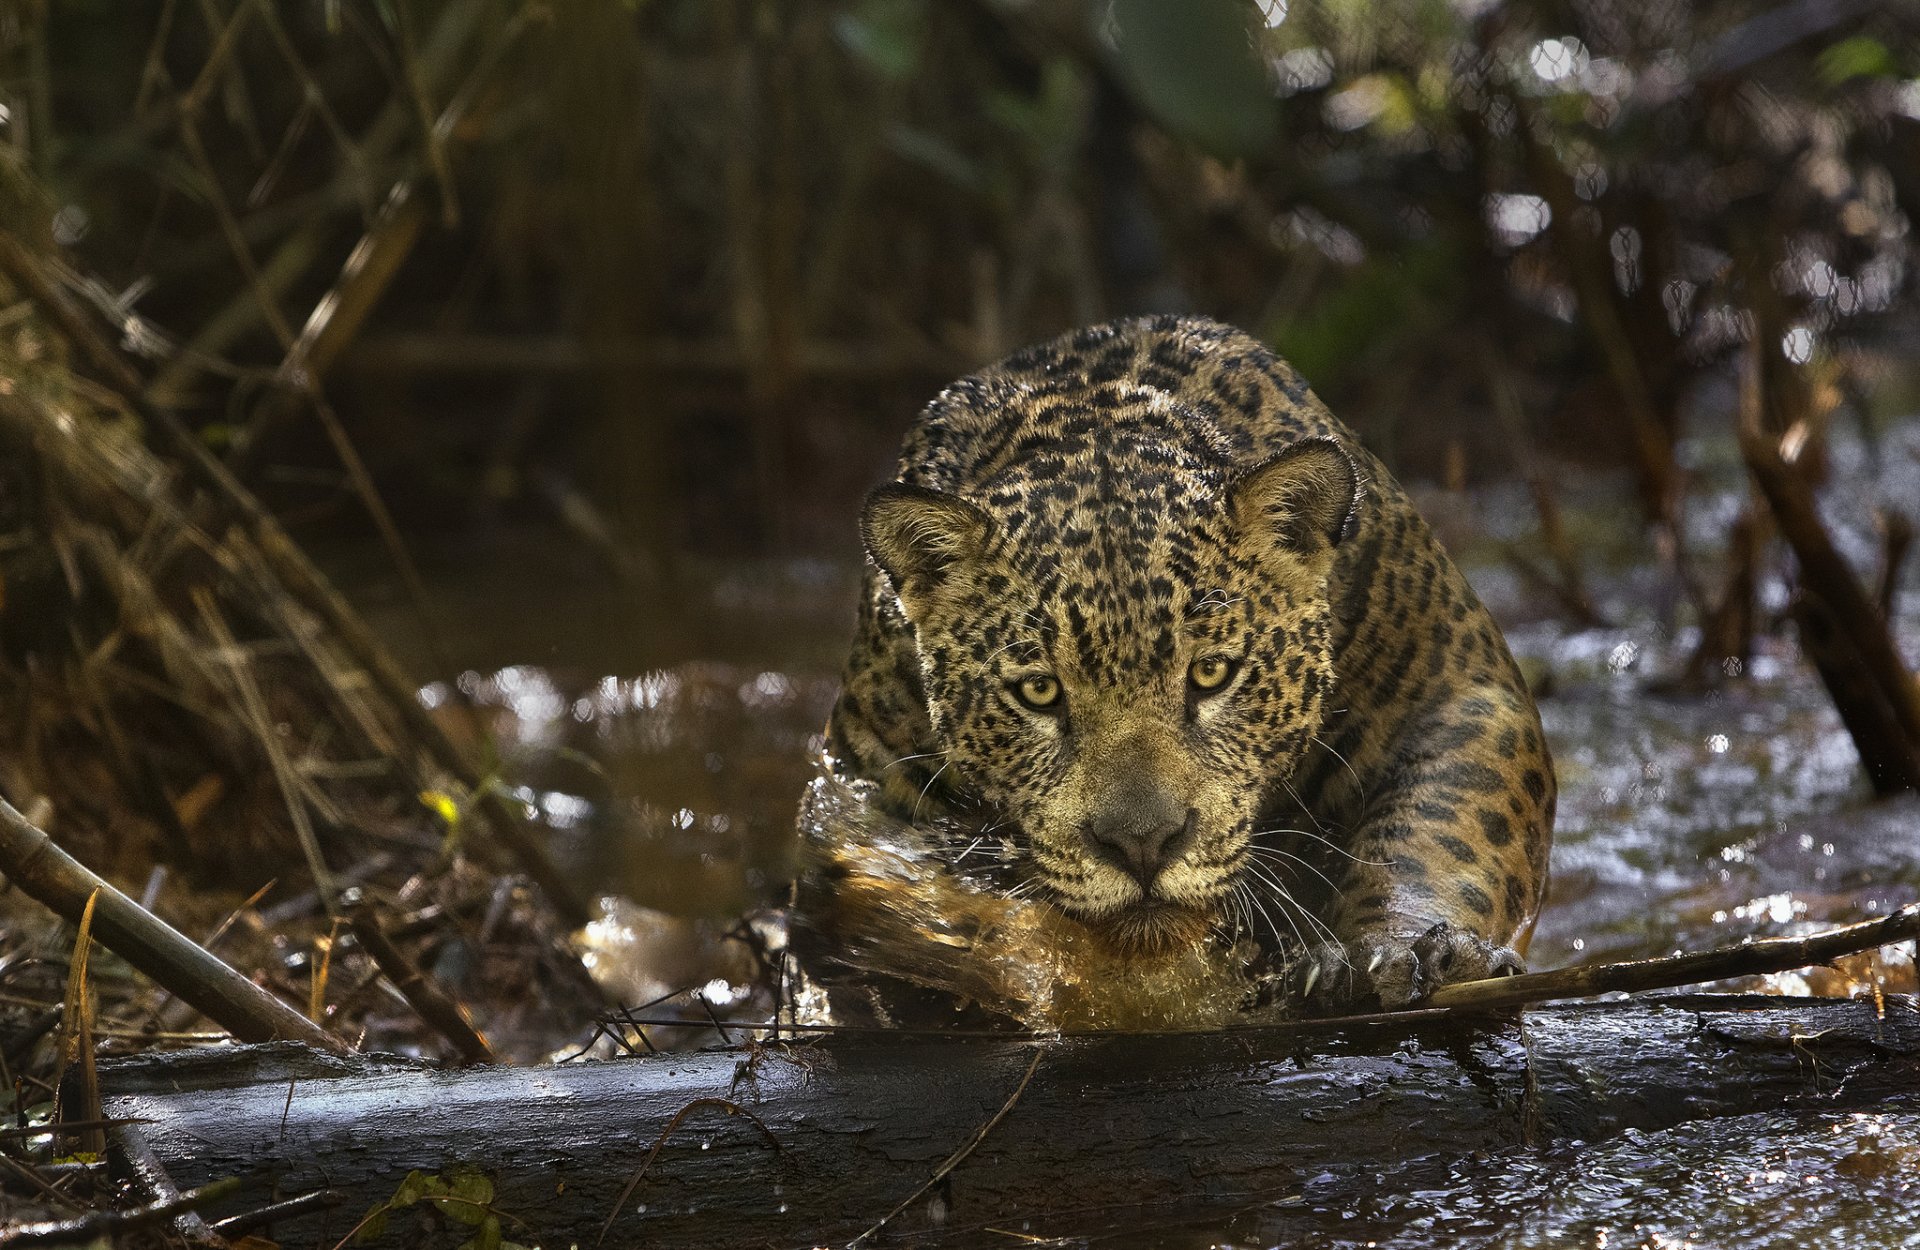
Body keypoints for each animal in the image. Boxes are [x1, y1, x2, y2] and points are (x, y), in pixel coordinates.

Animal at [813, 315, 1554, 1012]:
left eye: (1211, 675)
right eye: (1040, 692)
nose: (1143, 844)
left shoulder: (1451, 685)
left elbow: (1440, 835)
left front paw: (1401, 951)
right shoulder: (868, 765)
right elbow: (890, 887)